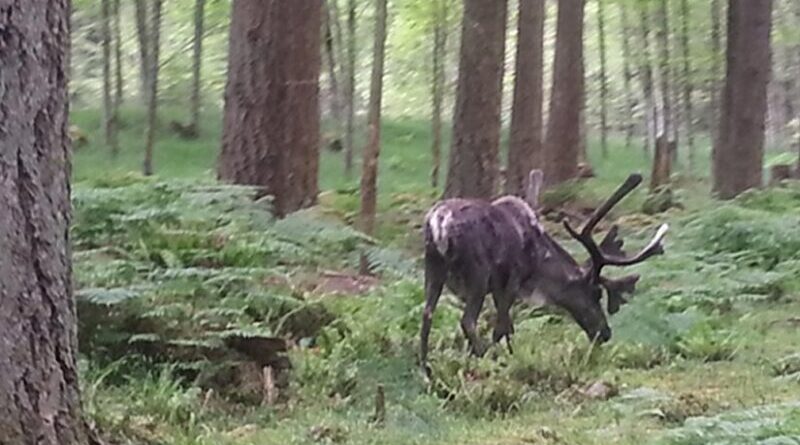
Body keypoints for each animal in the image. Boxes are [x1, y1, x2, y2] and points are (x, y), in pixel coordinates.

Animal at [419, 171, 668, 374]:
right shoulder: (511, 281)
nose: (605, 333)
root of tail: (438, 224)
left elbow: (506, 326)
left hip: (433, 268)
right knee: (467, 321)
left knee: (427, 317)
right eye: (595, 292)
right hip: (478, 274)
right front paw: (506, 360)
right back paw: (482, 355)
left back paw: (426, 370)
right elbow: (503, 327)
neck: (539, 264)